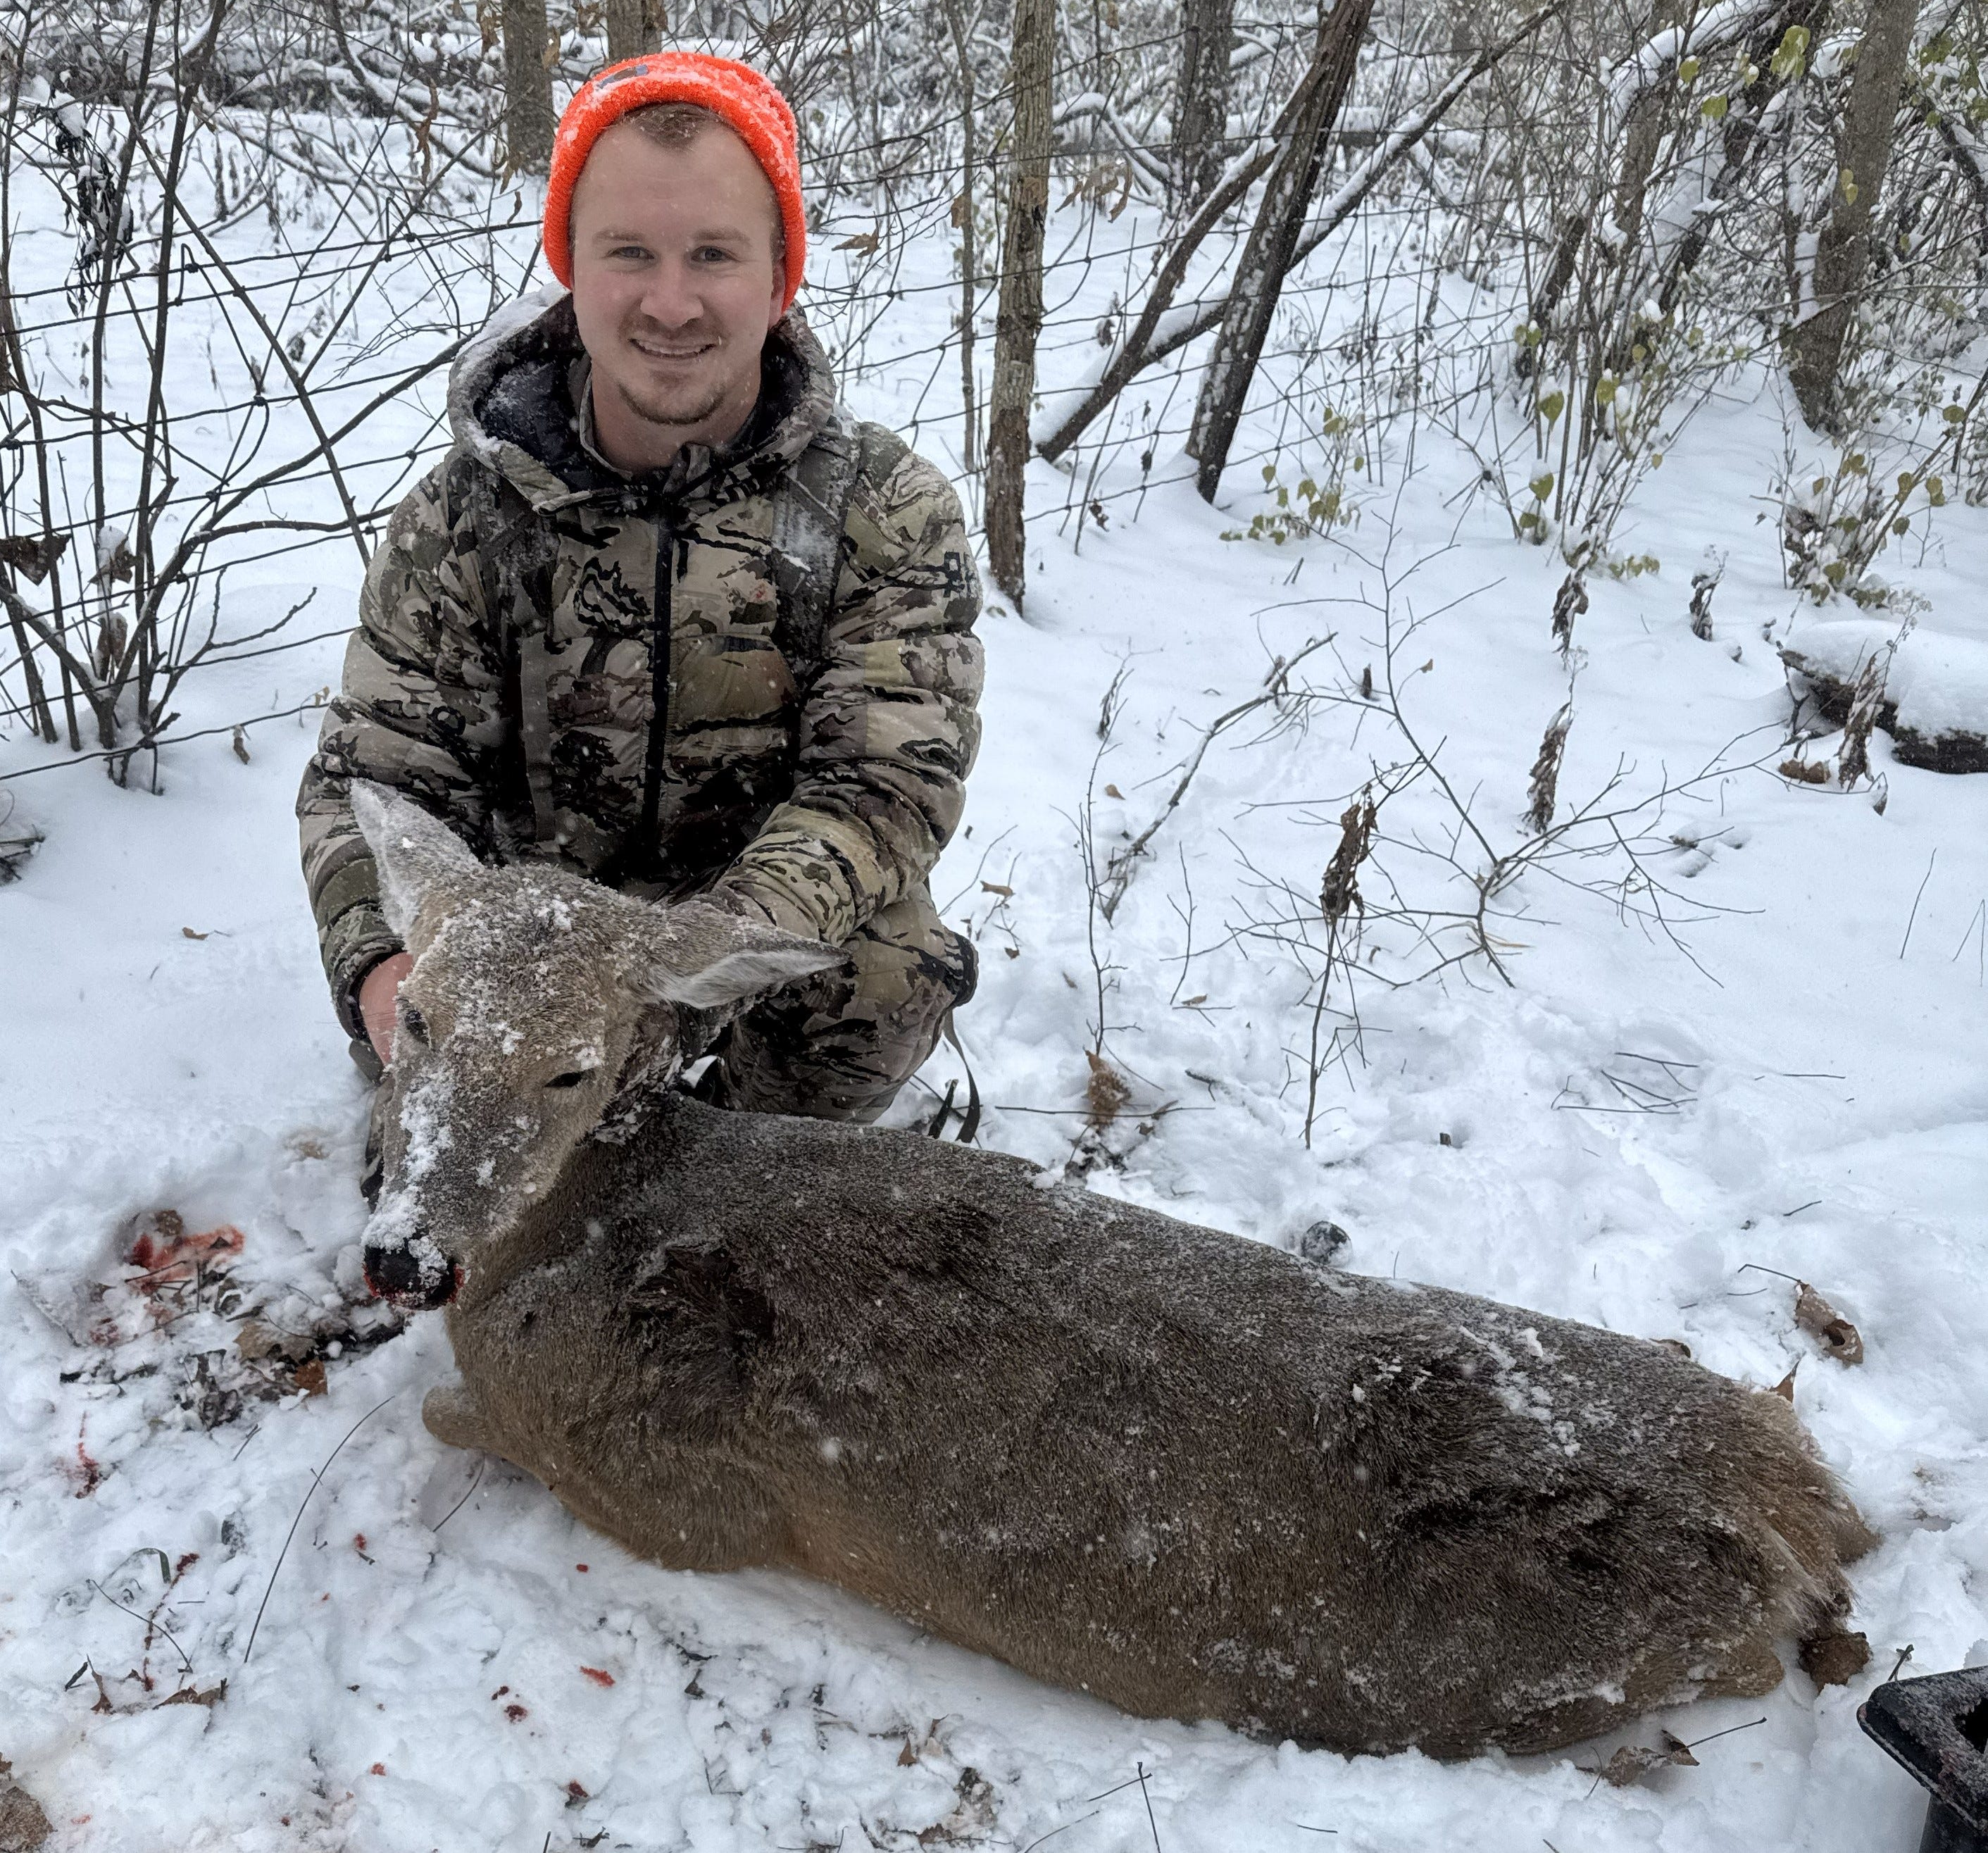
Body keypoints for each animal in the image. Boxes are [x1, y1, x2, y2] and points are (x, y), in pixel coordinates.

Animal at [349, 781, 1876, 1761]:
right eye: (414, 1012)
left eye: (571, 1066)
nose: (404, 1257)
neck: (587, 1226)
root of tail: (1803, 1508)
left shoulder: (654, 1486)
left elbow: (443, 1412)